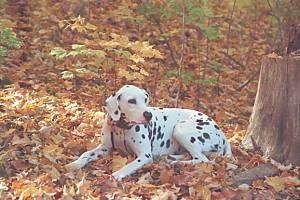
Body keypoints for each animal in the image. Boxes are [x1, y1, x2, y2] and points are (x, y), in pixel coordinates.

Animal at [67, 84, 233, 180]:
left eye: (145, 99)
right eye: (131, 101)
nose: (148, 115)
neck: (122, 129)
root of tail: (223, 135)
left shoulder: (145, 156)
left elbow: (130, 165)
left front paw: (118, 174)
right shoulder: (105, 148)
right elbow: (86, 154)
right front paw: (74, 164)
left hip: (180, 129)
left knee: (202, 159)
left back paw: (177, 163)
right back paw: (172, 158)